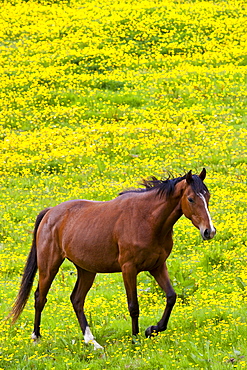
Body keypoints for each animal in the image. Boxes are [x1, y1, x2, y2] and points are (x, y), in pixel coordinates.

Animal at [8, 169, 215, 348]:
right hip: (49, 266)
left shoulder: (157, 266)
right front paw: (135, 339)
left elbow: (171, 296)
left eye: (208, 196)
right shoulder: (129, 268)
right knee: (40, 297)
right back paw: (36, 337)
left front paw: (152, 330)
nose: (209, 231)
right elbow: (133, 306)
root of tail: (50, 212)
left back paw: (92, 342)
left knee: (77, 300)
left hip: (86, 270)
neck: (146, 219)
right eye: (191, 198)